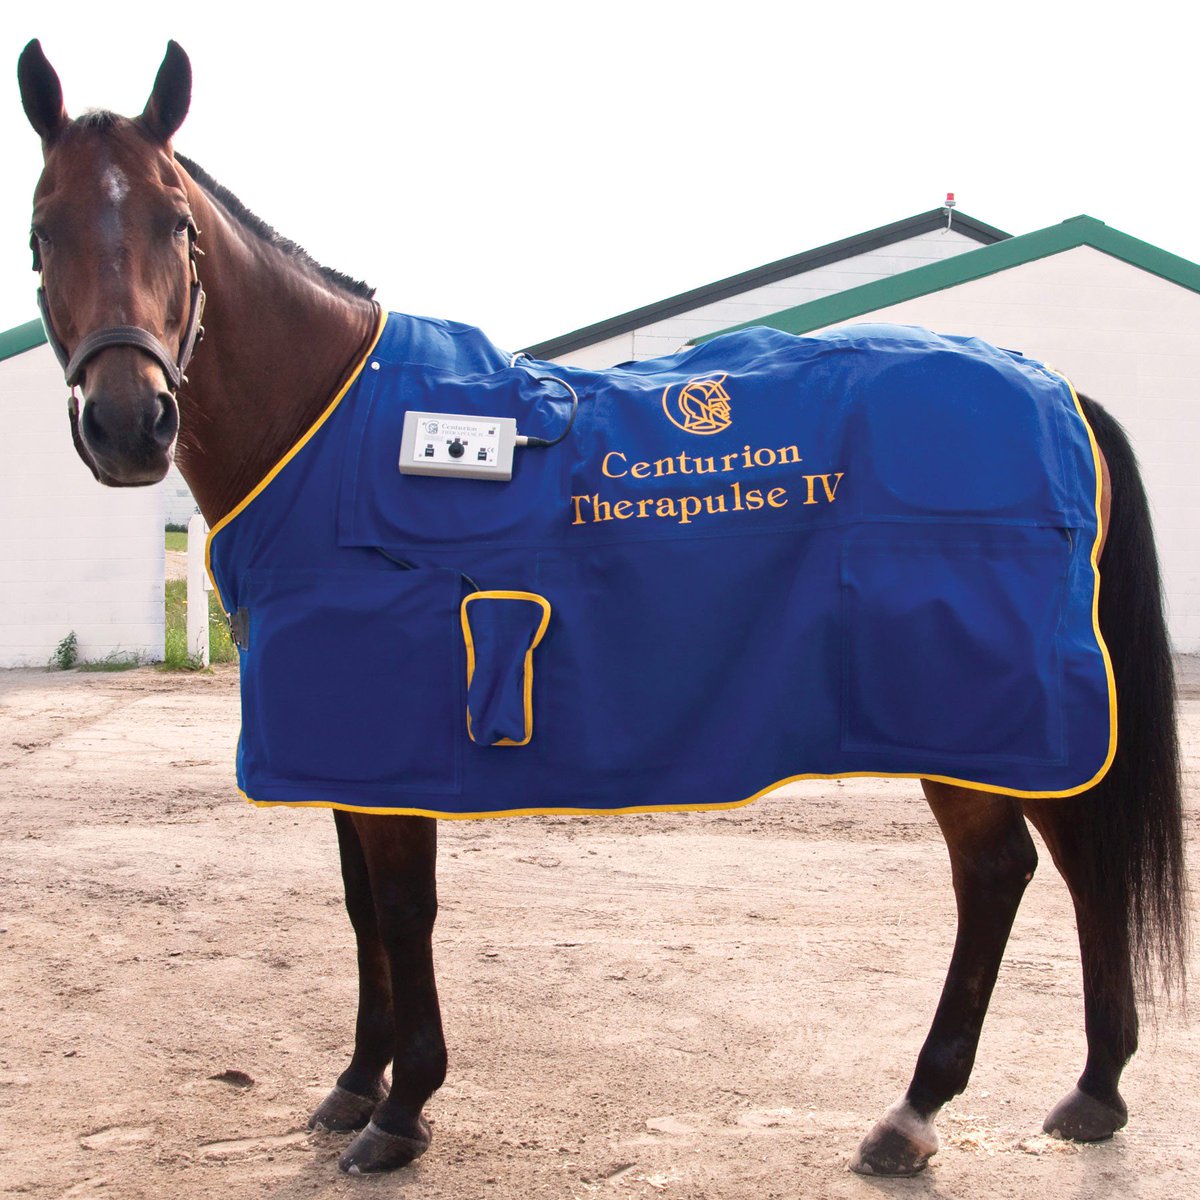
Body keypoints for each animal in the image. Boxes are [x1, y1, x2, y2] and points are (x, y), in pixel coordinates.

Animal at [16, 38, 1187, 1178]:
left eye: (175, 221)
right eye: (39, 233)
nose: (129, 423)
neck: (331, 429)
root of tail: (1058, 393)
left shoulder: (392, 728)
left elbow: (400, 907)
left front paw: (403, 1111)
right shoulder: (343, 731)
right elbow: (359, 905)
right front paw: (356, 1080)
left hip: (984, 716)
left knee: (1002, 873)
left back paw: (915, 1112)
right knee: (1076, 869)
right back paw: (1094, 1091)